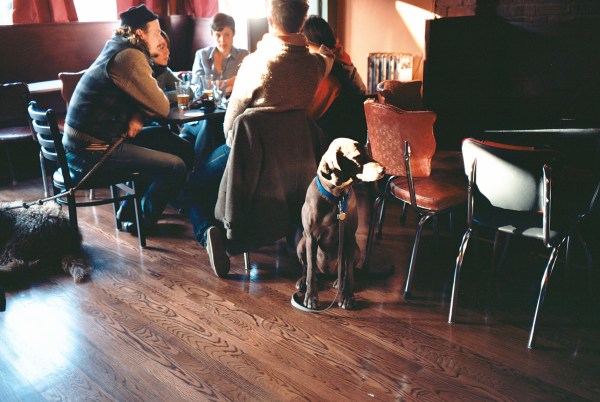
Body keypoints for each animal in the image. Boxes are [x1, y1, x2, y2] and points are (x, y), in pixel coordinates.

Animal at [296, 138, 385, 310]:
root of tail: (326, 273)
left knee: (344, 270)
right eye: (357, 156)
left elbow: (349, 271)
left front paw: (347, 296)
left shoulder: (349, 238)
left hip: (356, 249)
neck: (336, 198)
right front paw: (311, 296)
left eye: (367, 152)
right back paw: (303, 281)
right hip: (301, 244)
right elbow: (310, 269)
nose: (384, 170)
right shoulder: (311, 238)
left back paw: (339, 282)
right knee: (307, 268)